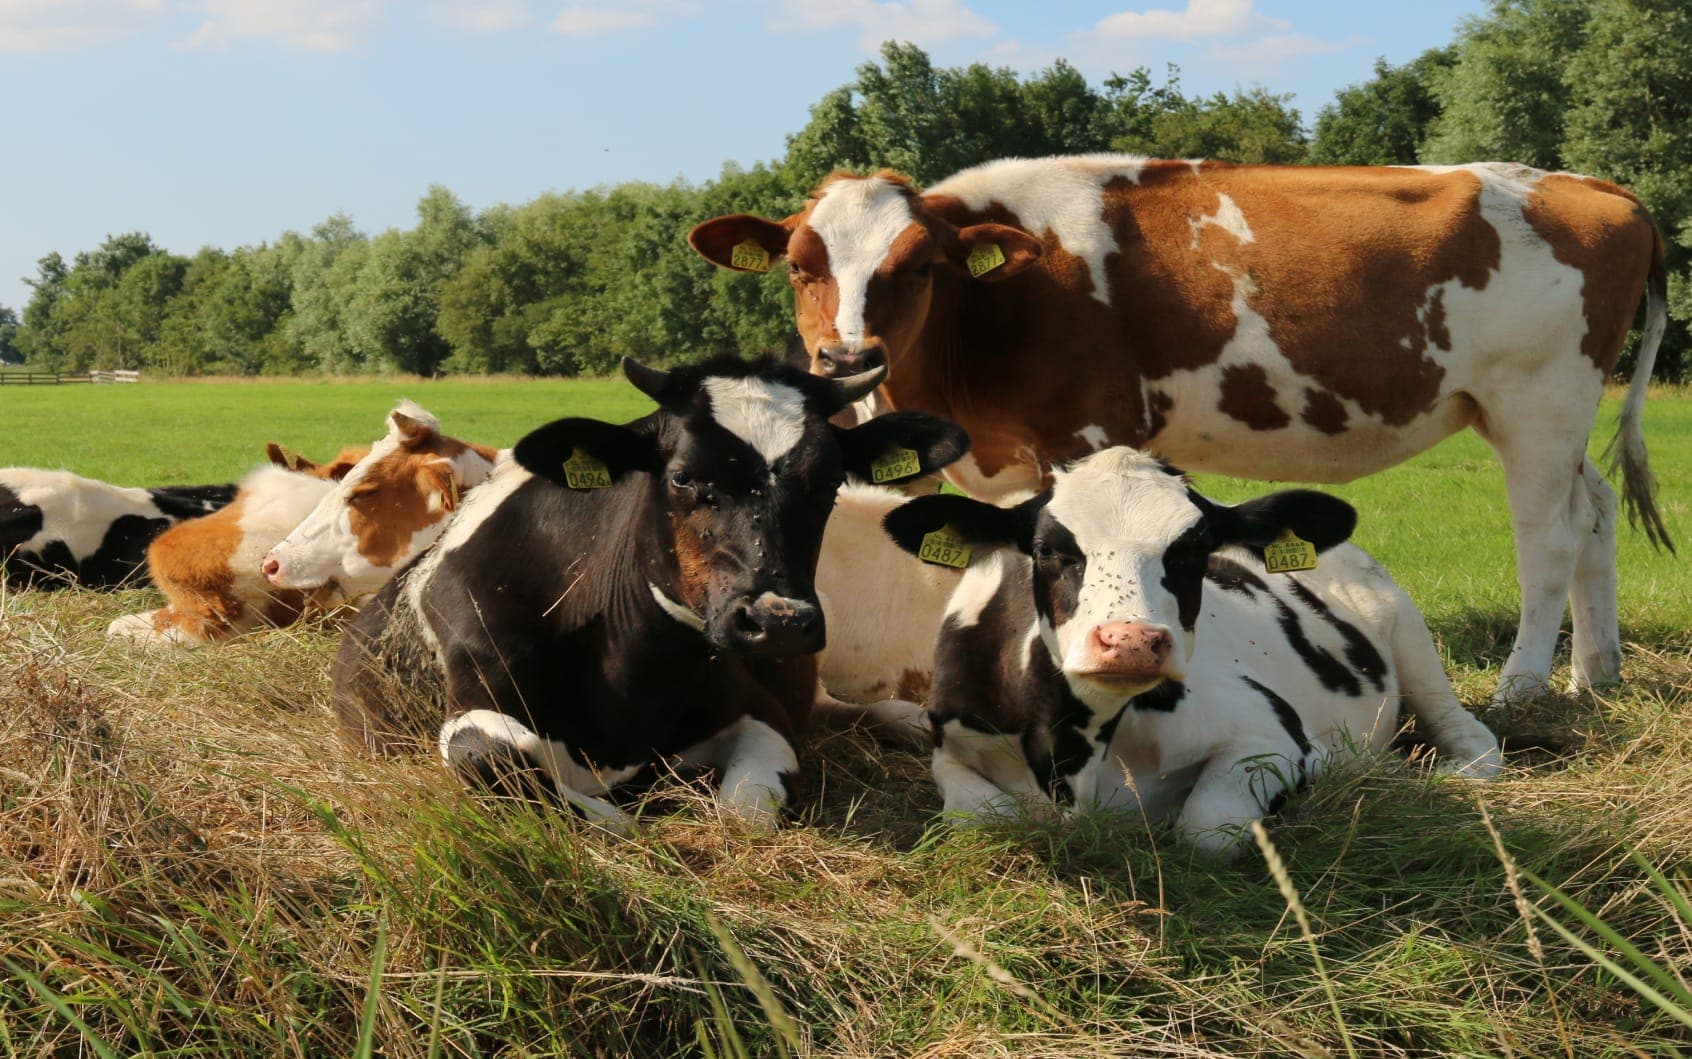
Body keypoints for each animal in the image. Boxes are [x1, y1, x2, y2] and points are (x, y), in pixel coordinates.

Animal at [329, 355, 967, 825]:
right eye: (681, 477)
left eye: (832, 480)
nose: (779, 620)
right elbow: (500, 760)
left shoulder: (759, 710)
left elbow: (743, 810)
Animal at [693, 154, 1671, 700]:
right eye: (798, 265)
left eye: (921, 264)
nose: (845, 357)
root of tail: (1595, 187)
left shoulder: (1087, 433)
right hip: (1545, 416)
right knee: (1593, 514)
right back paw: (1597, 671)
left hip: (1537, 400)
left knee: (1548, 536)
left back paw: (1524, 683)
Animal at [879, 443, 1502, 849]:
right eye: (1048, 548)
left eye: (1193, 550)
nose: (1130, 642)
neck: (1071, 757)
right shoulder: (951, 745)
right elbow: (983, 815)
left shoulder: (1267, 732)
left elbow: (1206, 827)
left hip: (1411, 638)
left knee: (1472, 739)